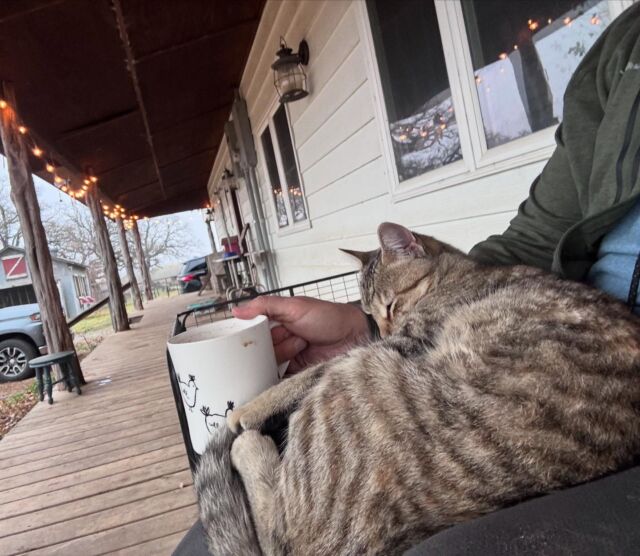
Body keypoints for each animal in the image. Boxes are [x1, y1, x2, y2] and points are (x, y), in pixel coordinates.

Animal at [195, 222, 640, 556]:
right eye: (369, 313)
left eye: (391, 305)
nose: (382, 329)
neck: (455, 276)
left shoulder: (400, 343)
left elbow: (309, 373)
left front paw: (249, 408)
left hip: (353, 379)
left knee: (277, 534)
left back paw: (248, 446)